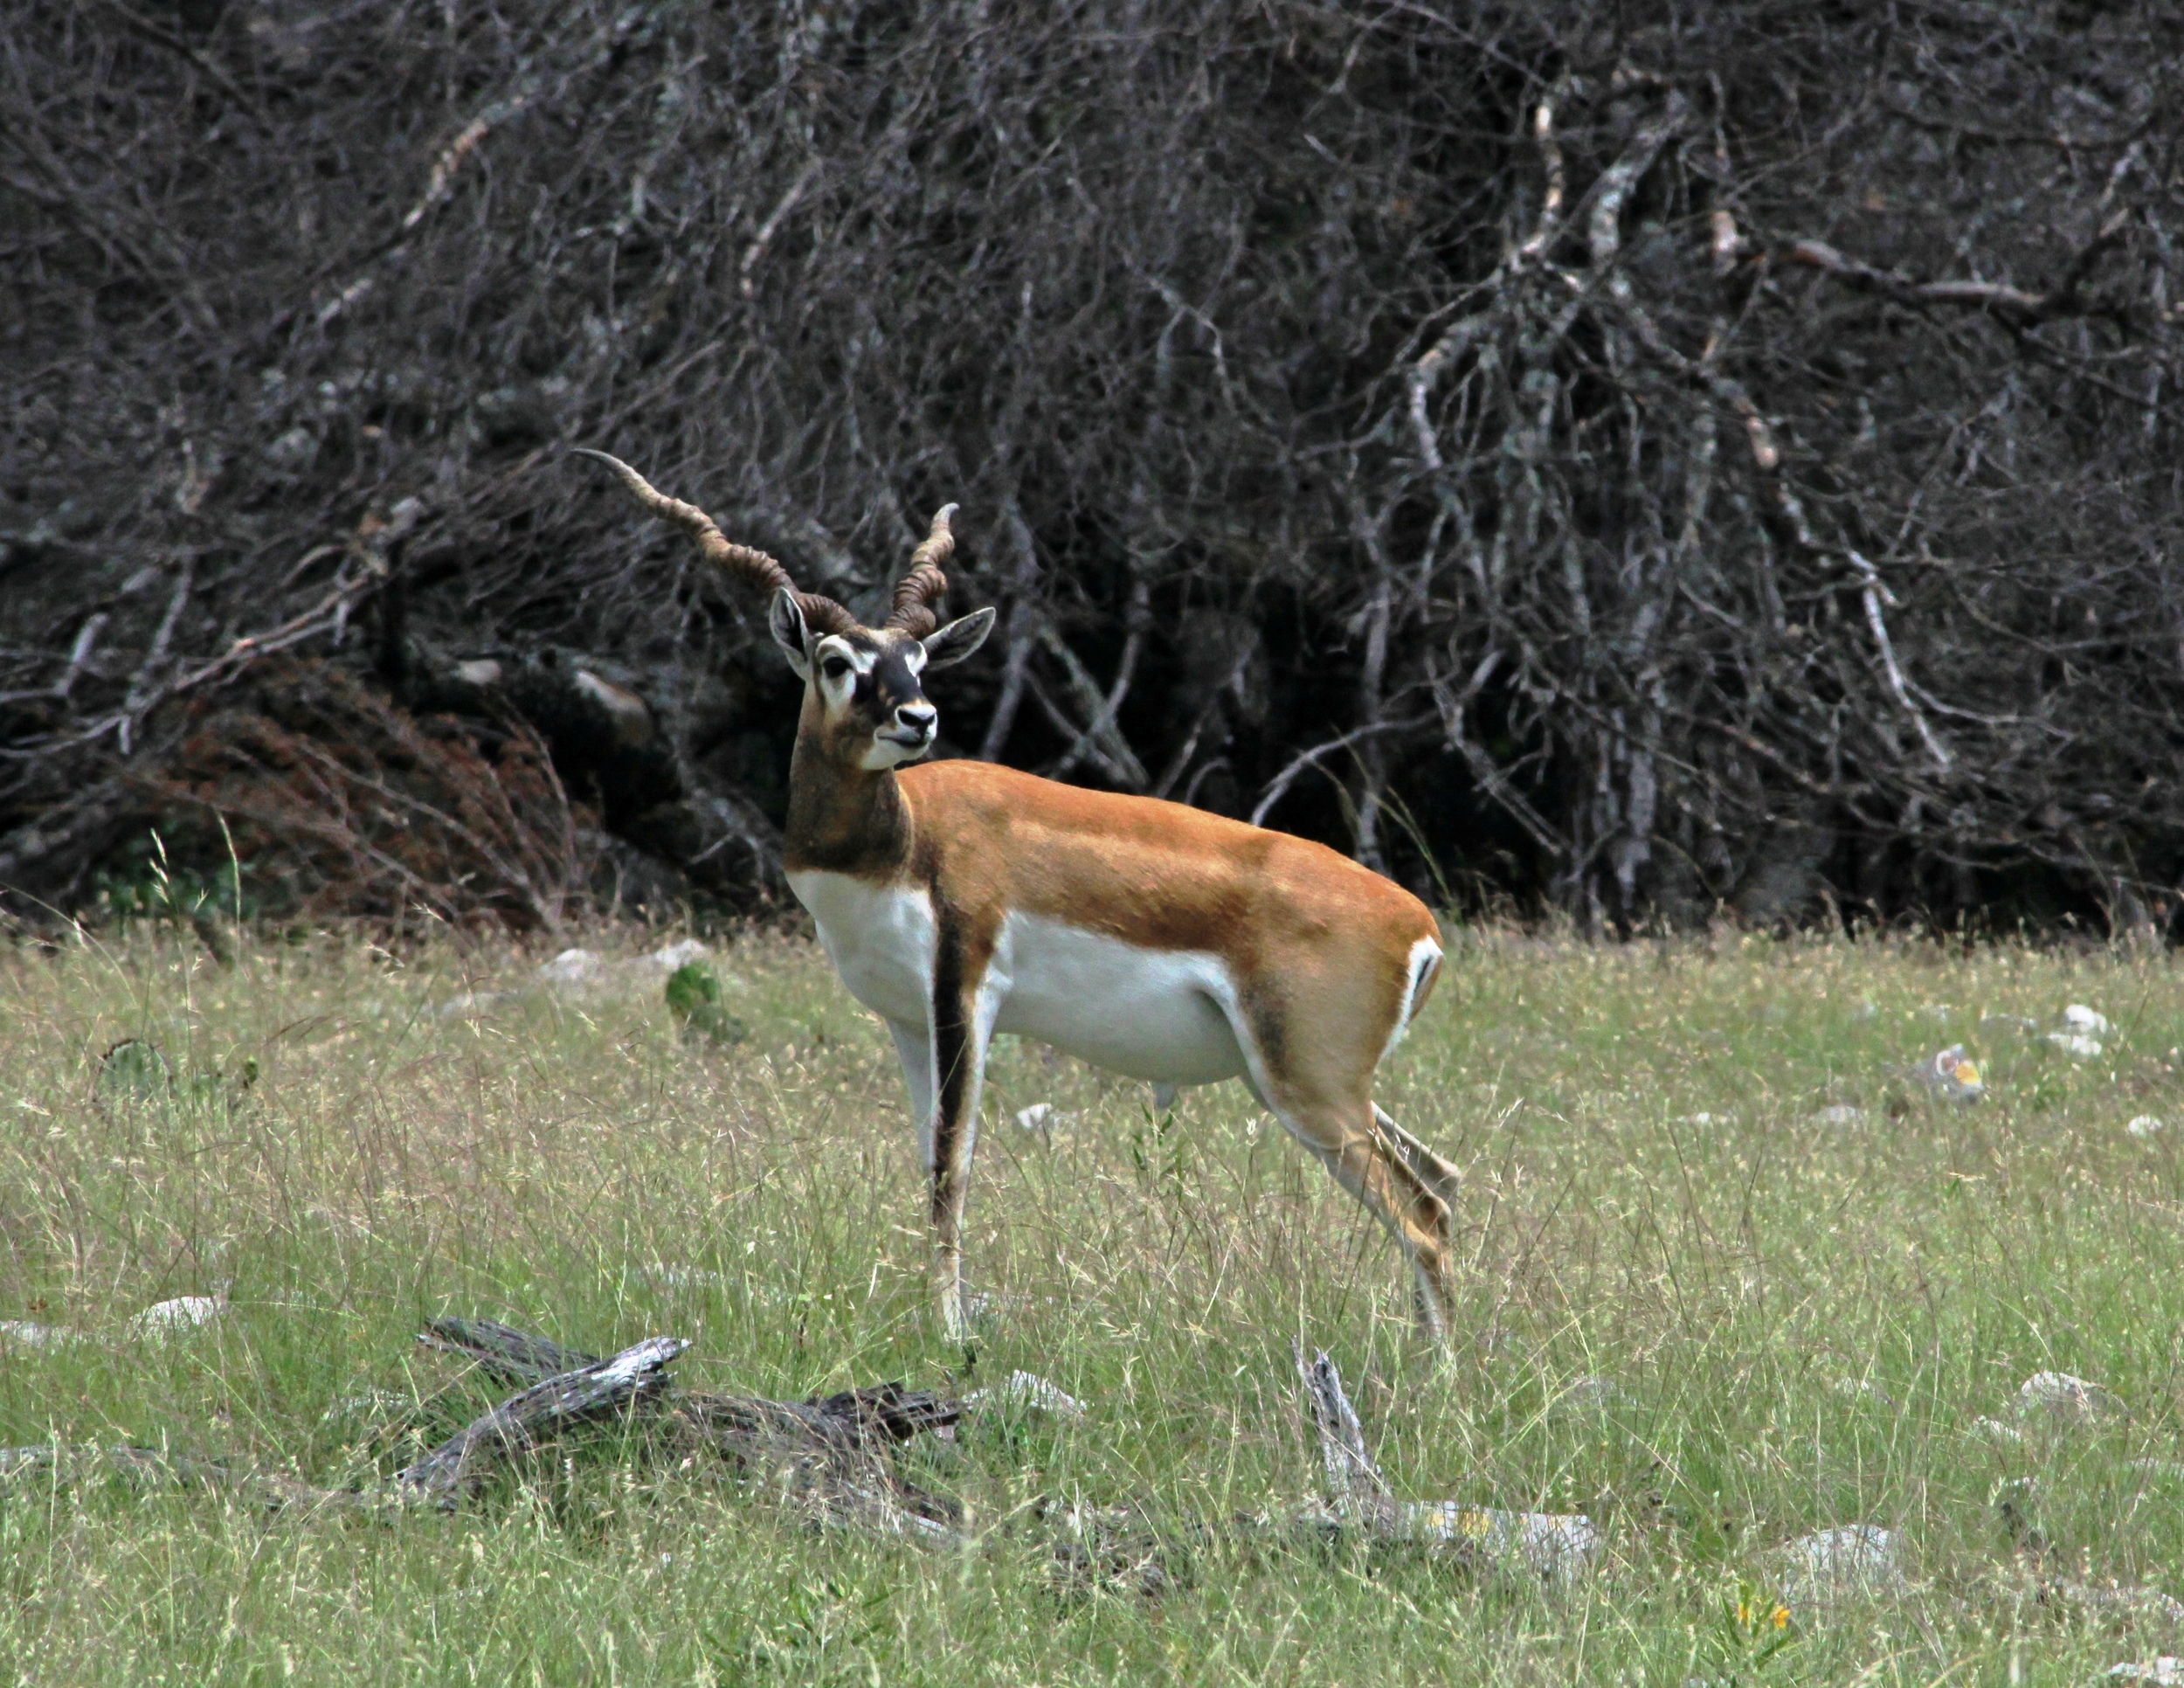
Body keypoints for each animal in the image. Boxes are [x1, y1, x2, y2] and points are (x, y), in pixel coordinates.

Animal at [585, 452, 1468, 1345]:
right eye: (838, 662)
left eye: (920, 661)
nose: (918, 717)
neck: (906, 841)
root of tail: (1418, 924)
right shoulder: (909, 1020)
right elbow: (926, 1159)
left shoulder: (965, 994)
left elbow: (952, 1169)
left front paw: (954, 1337)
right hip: (1306, 1085)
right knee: (1444, 1179)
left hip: (1310, 1086)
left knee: (1423, 1214)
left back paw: (1437, 1370)